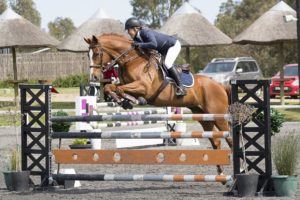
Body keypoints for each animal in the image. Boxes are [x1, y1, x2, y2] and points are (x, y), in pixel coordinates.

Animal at [84, 33, 232, 174]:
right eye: (88, 55)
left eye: (97, 53)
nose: (94, 77)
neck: (132, 60)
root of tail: (219, 85)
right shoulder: (127, 84)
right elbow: (111, 87)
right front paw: (123, 101)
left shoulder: (144, 87)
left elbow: (120, 88)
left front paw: (132, 100)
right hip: (204, 116)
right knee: (216, 140)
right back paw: (220, 171)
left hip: (218, 116)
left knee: (228, 137)